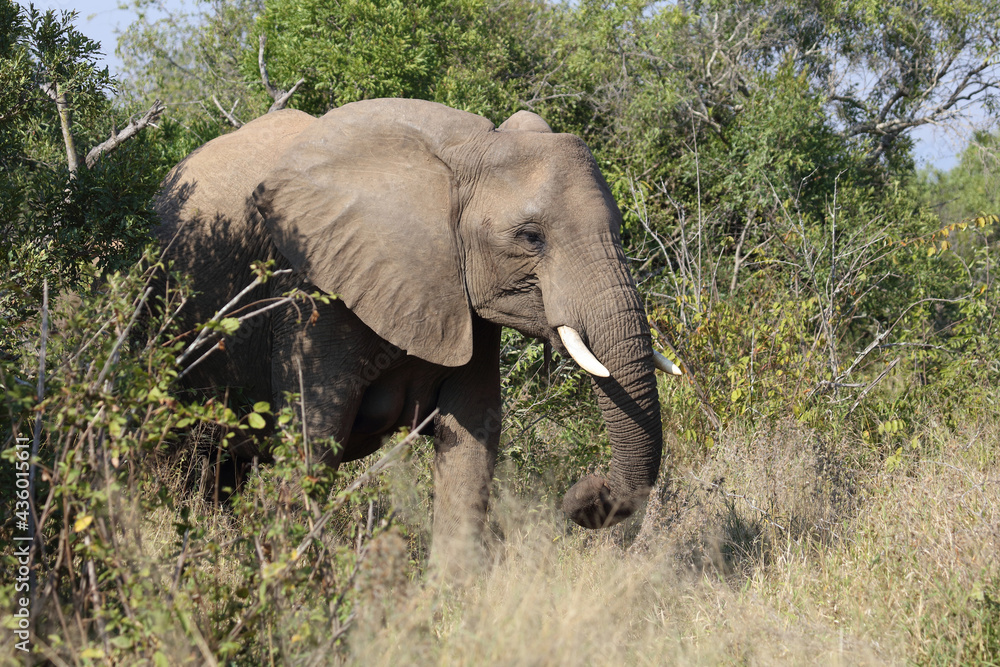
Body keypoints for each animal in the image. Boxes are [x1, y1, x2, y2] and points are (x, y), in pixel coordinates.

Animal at [153, 98, 682, 561]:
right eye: (532, 237)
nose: (582, 491)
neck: (465, 153)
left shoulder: (464, 298)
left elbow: (472, 434)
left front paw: (451, 597)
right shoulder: (314, 292)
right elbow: (314, 435)